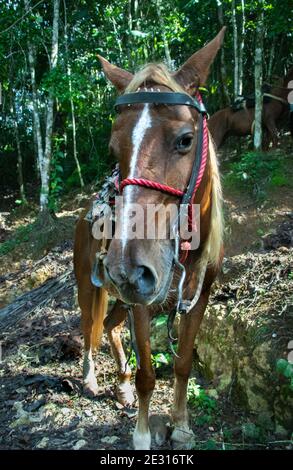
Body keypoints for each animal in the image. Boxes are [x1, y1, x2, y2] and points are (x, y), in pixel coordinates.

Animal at [73, 27, 224, 450]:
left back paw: (120, 385)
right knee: (89, 328)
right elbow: (147, 375)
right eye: (114, 148)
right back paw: (92, 378)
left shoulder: (197, 299)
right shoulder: (139, 303)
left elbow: (183, 363)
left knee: (110, 326)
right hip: (90, 287)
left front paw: (182, 426)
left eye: (186, 139)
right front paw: (141, 435)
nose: (128, 269)